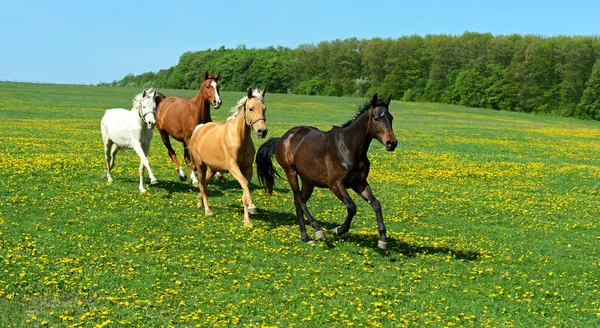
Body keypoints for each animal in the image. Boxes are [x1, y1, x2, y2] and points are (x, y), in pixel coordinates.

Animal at [191, 88, 268, 228]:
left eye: (264, 108)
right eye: (251, 108)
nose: (262, 131)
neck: (240, 137)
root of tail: (199, 129)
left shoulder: (247, 168)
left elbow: (245, 188)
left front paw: (247, 218)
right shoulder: (233, 167)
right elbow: (244, 184)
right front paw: (252, 208)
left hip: (212, 169)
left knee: (204, 185)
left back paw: (200, 203)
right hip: (200, 166)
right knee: (202, 185)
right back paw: (208, 211)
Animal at [254, 93, 398, 250]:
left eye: (391, 118)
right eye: (376, 118)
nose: (392, 143)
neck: (349, 148)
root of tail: (283, 138)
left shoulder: (359, 183)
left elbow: (376, 204)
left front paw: (383, 239)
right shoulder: (335, 184)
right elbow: (352, 207)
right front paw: (338, 230)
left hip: (308, 181)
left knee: (298, 202)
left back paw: (305, 237)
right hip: (291, 172)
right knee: (300, 201)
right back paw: (317, 229)